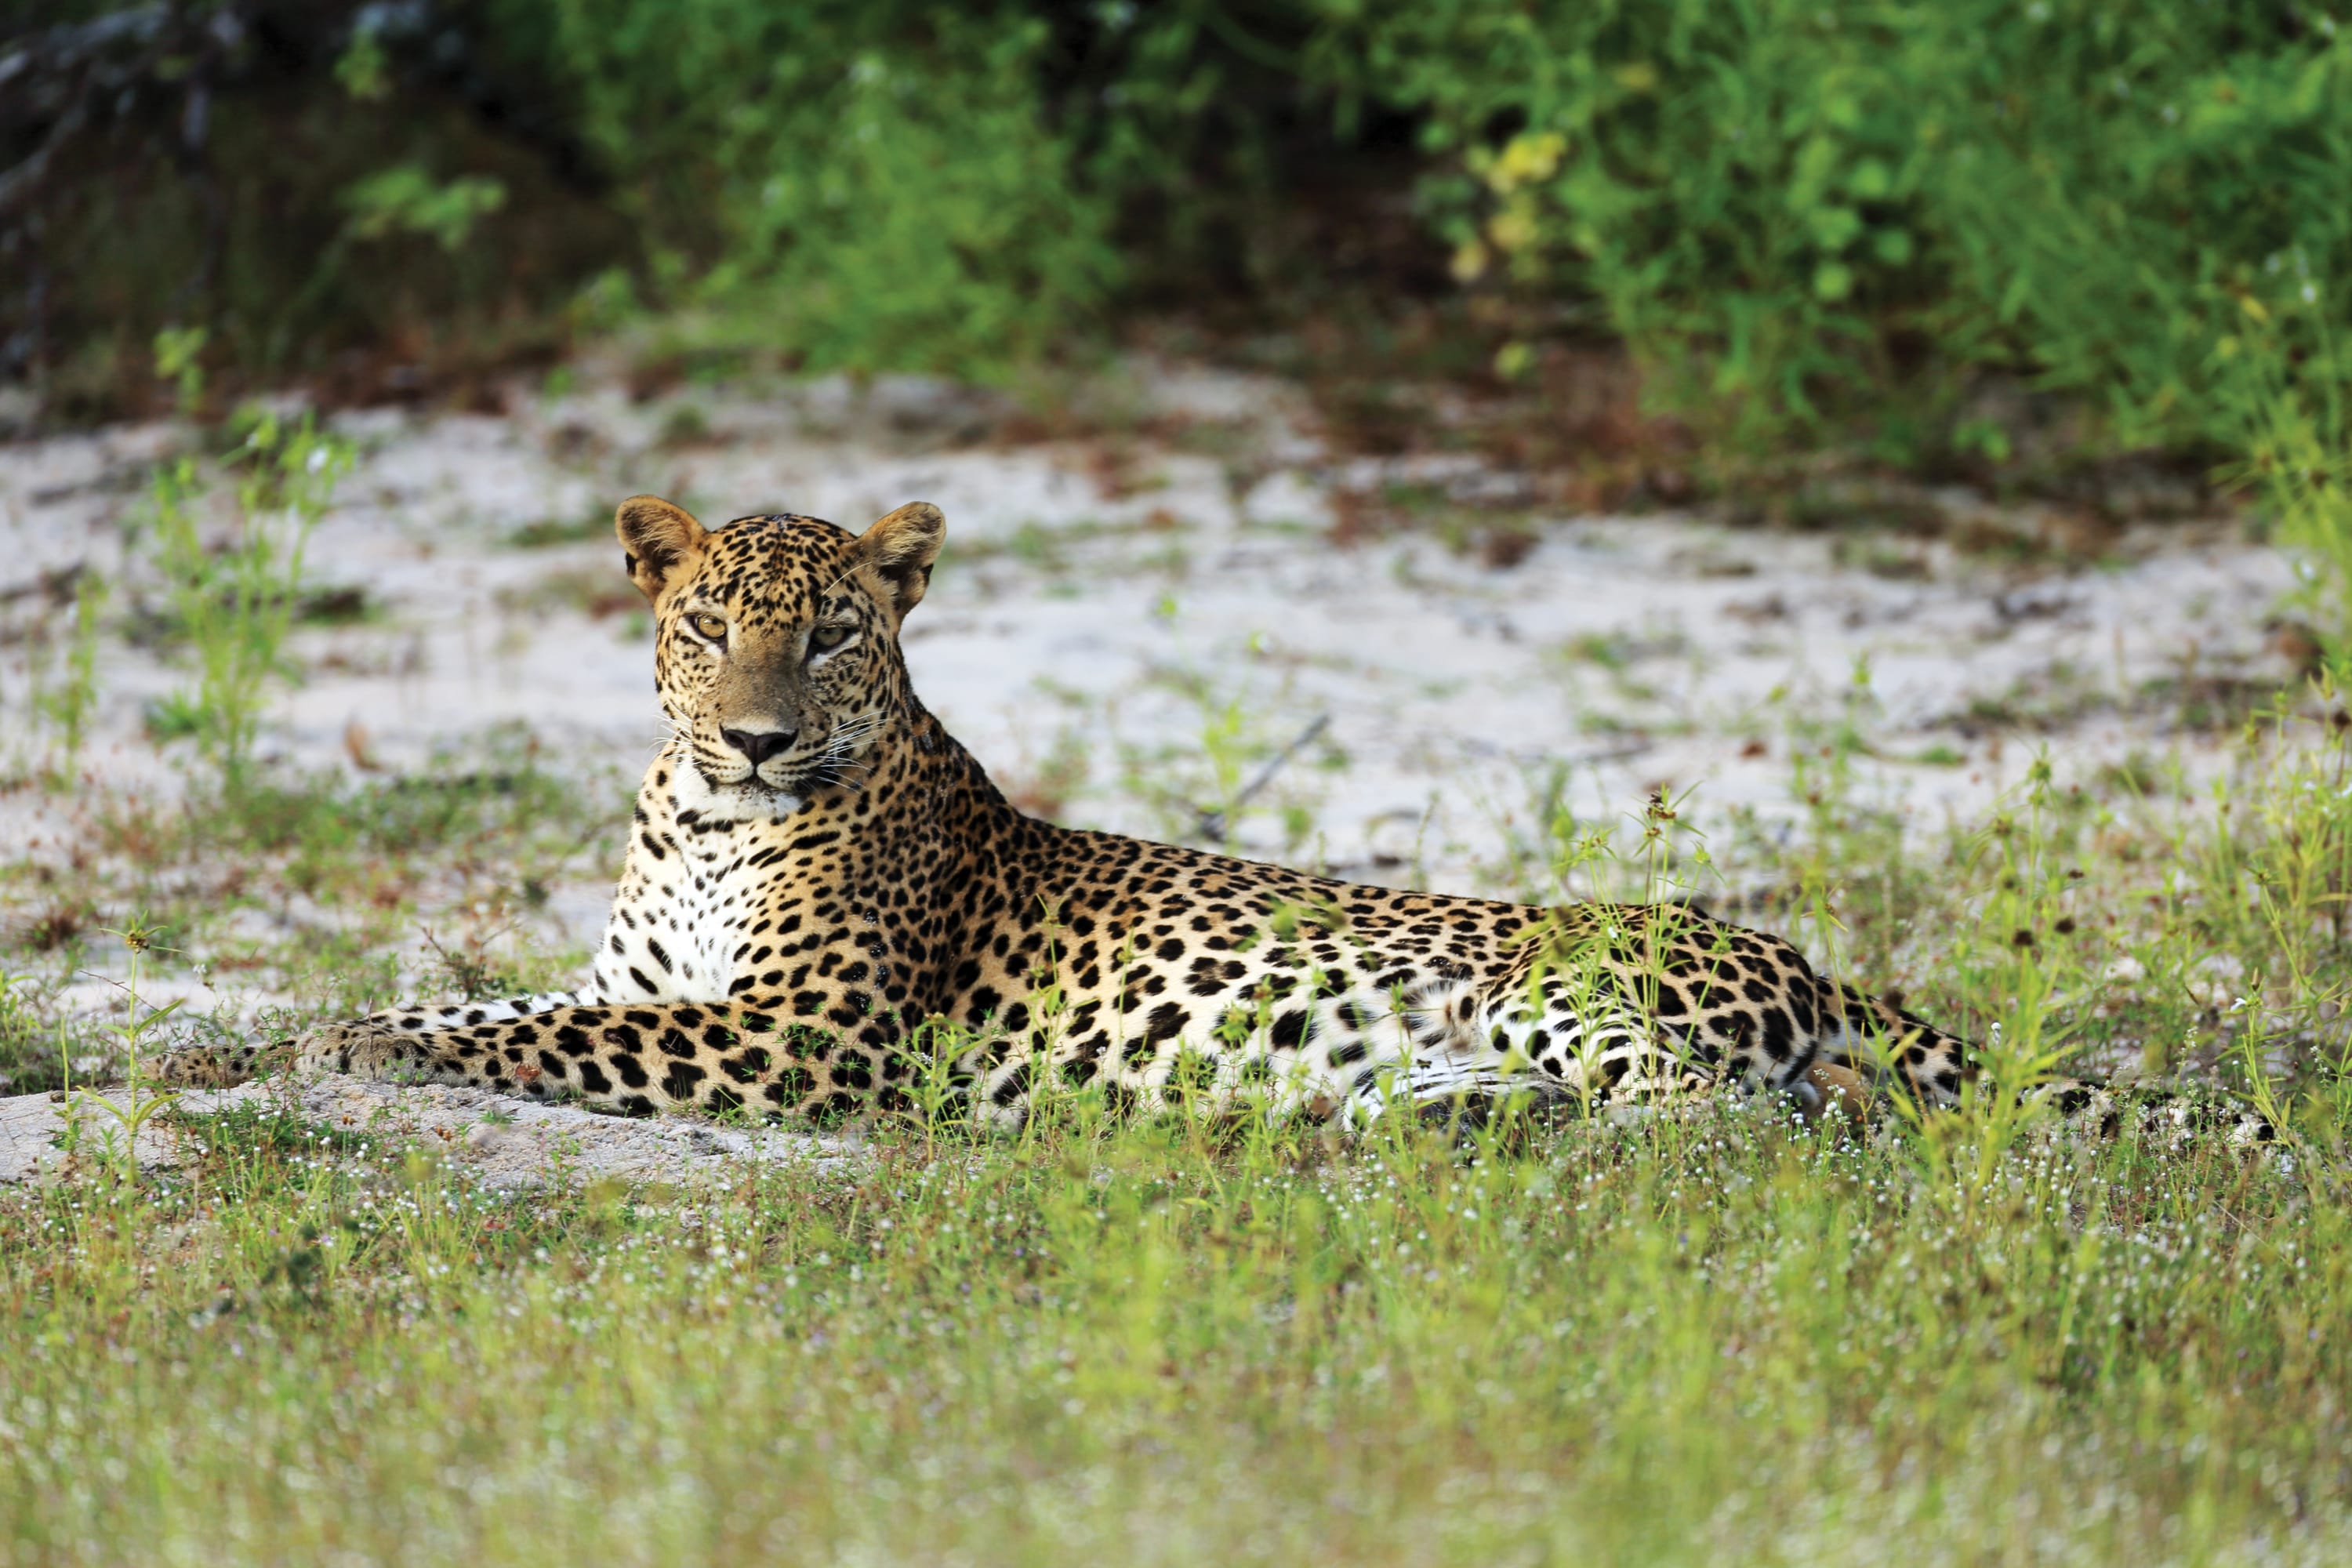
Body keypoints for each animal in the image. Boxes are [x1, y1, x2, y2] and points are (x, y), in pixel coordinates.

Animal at [156, 491, 2267, 1142]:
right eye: (704, 627)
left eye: (828, 636)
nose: (754, 738)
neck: (699, 821)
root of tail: (1802, 948)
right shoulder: (664, 980)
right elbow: (506, 996)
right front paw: (272, 1027)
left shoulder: (800, 1032)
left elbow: (537, 1033)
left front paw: (350, 1039)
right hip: (1488, 1029)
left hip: (1589, 993)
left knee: (1765, 1117)